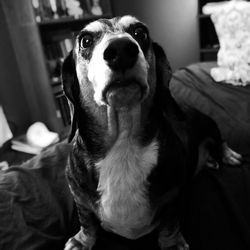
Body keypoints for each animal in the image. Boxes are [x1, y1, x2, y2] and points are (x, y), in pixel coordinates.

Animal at [61, 15, 242, 250]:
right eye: (85, 41)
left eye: (140, 32)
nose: (121, 49)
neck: (123, 142)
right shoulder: (78, 197)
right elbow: (87, 220)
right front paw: (82, 240)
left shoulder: (174, 197)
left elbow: (170, 223)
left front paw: (172, 243)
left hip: (208, 123)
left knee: (220, 141)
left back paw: (228, 155)